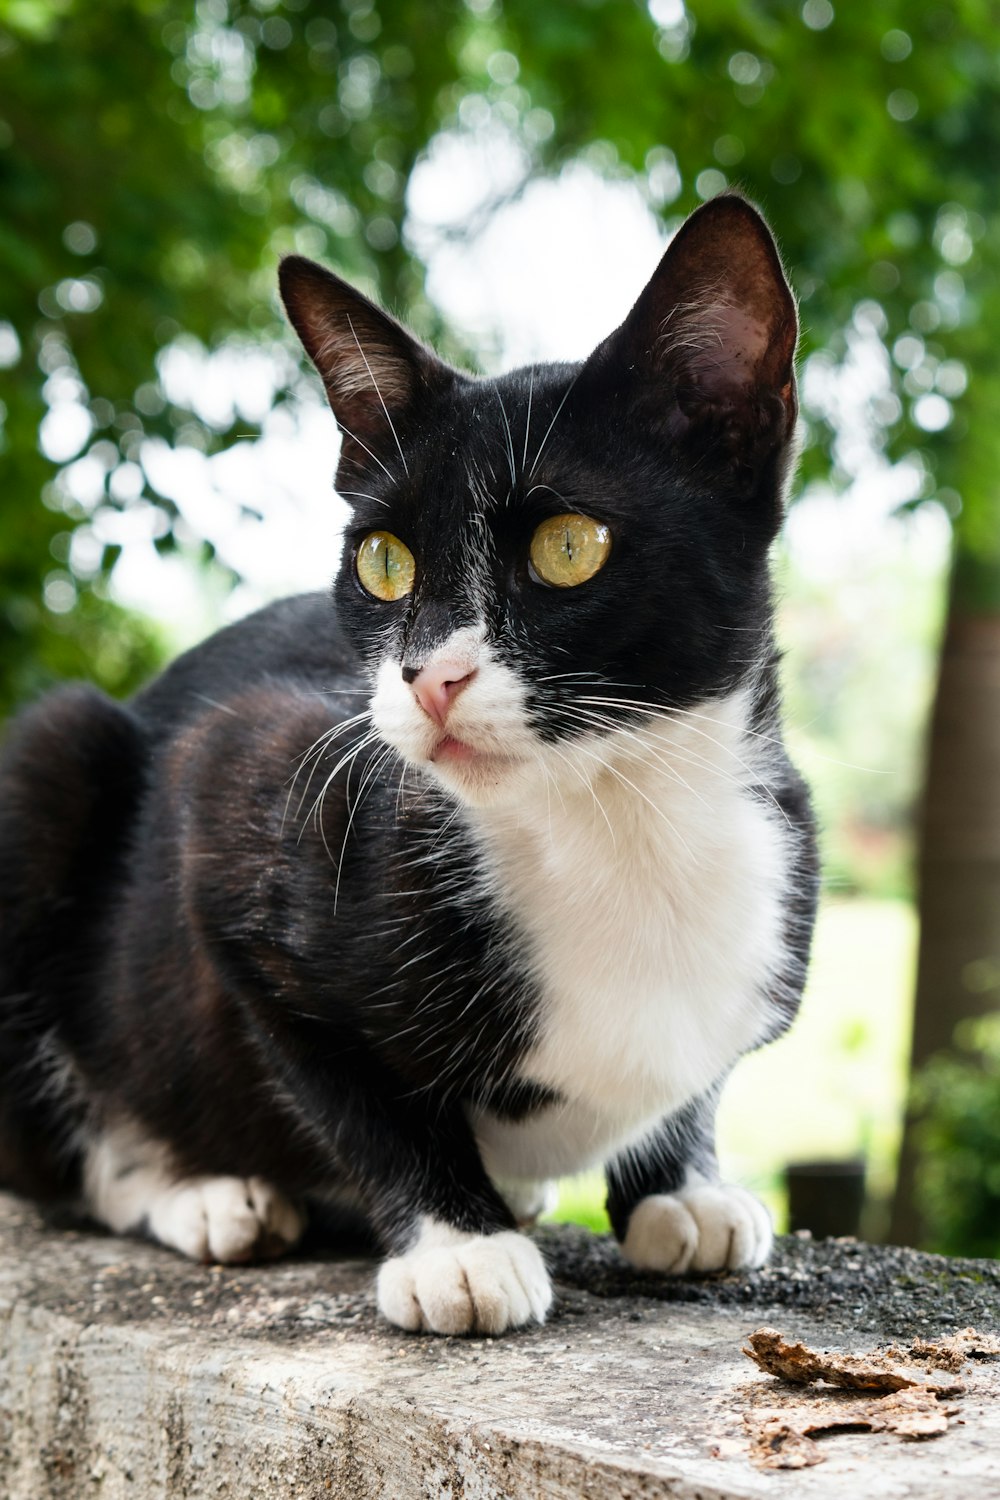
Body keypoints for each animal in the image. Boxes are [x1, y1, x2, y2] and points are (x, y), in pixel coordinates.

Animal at [0, 190, 821, 1338]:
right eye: (384, 562)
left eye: (570, 547)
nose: (431, 677)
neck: (615, 815)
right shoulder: (236, 794)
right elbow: (349, 1092)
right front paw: (460, 1246)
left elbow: (692, 1080)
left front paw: (682, 1188)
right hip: (50, 764)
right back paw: (204, 1194)